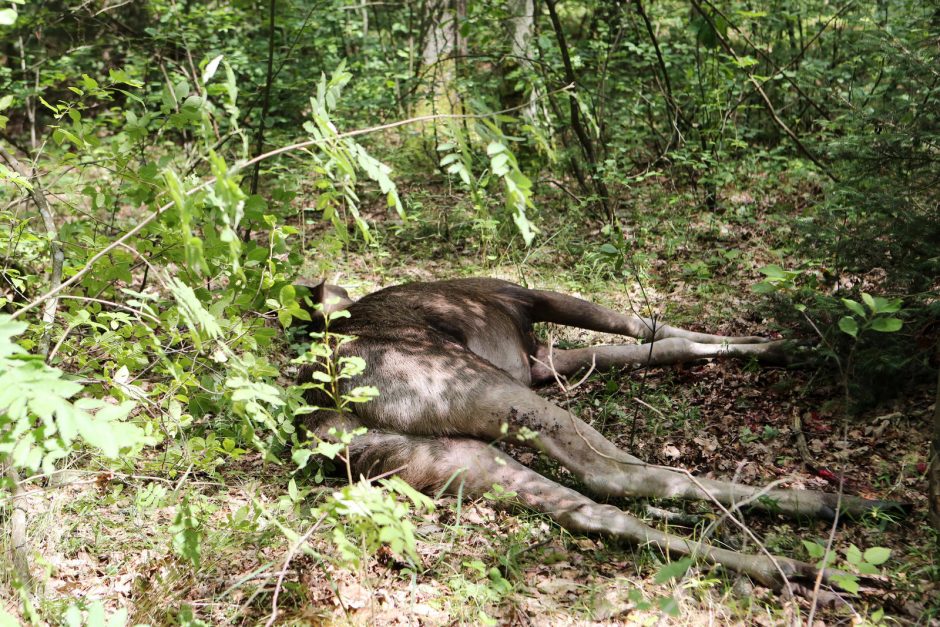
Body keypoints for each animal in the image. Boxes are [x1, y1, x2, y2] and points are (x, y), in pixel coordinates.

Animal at [294, 278, 896, 592]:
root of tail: (325, 419)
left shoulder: (542, 361)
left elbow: (659, 344)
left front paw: (770, 343)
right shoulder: (526, 302)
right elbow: (650, 327)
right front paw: (789, 344)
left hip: (446, 456)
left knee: (589, 508)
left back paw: (800, 567)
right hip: (481, 388)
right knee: (619, 474)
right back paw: (838, 508)